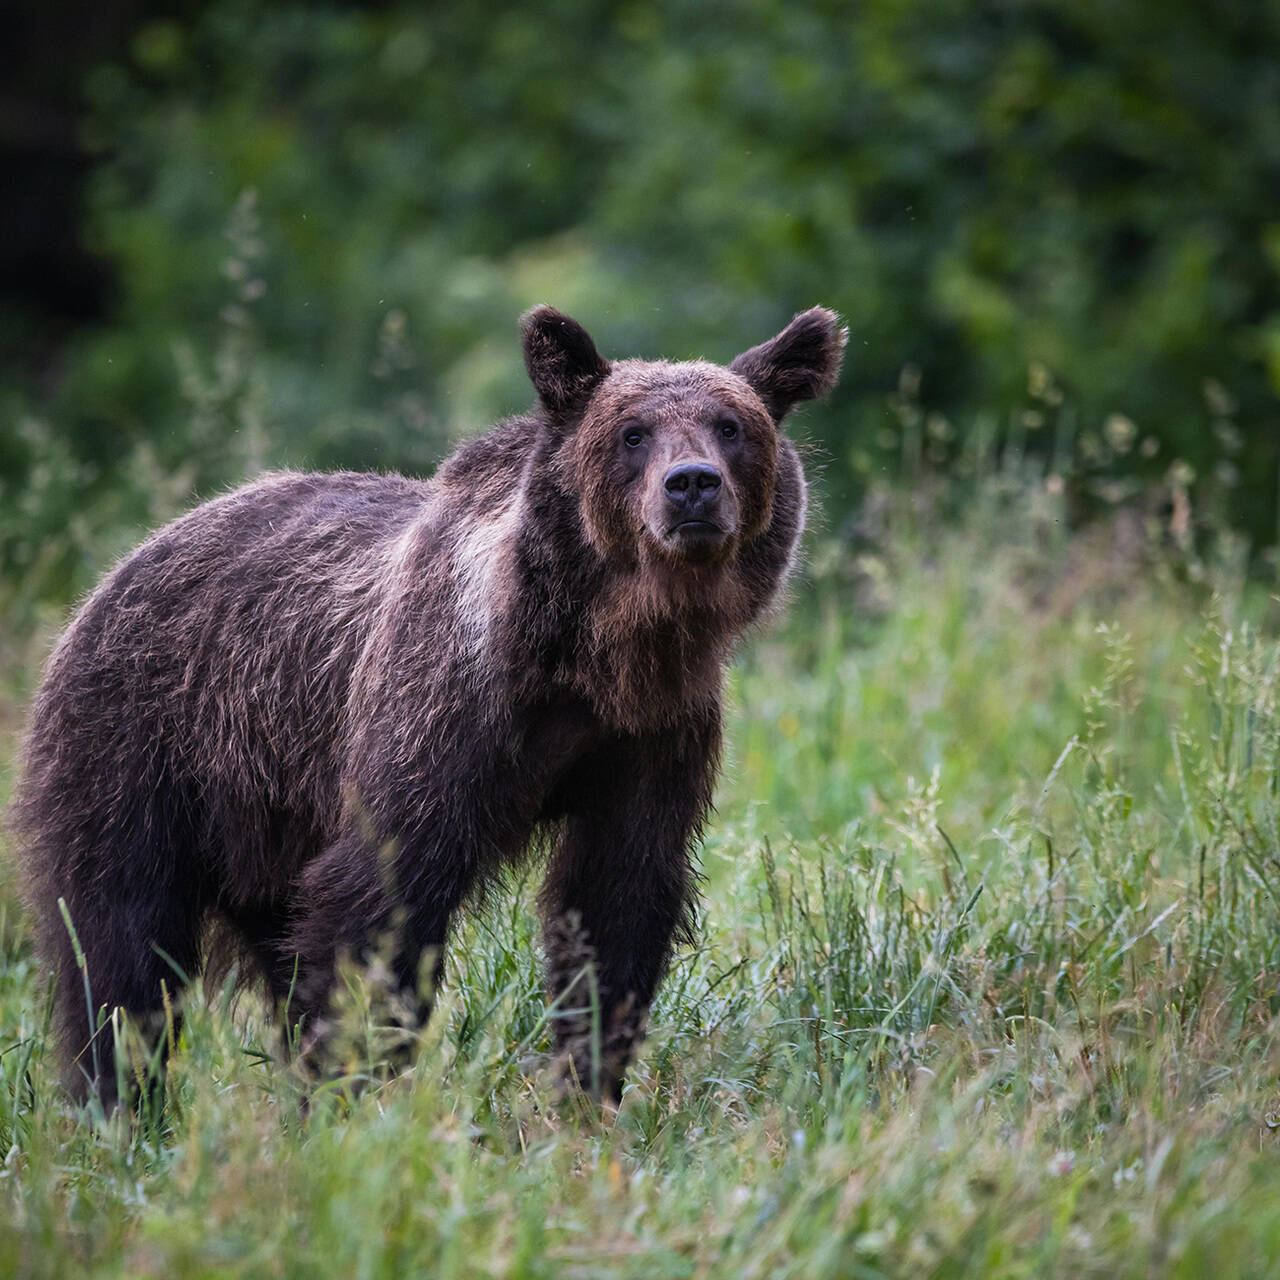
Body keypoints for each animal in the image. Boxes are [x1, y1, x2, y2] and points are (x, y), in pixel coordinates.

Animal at [12, 304, 849, 1105]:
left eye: (732, 425)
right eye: (633, 433)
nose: (692, 484)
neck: (591, 657)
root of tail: (123, 563)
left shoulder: (653, 735)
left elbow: (618, 904)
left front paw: (589, 1088)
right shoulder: (444, 716)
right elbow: (379, 903)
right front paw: (353, 1091)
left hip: (264, 817)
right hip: (144, 748)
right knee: (120, 949)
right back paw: (122, 1105)